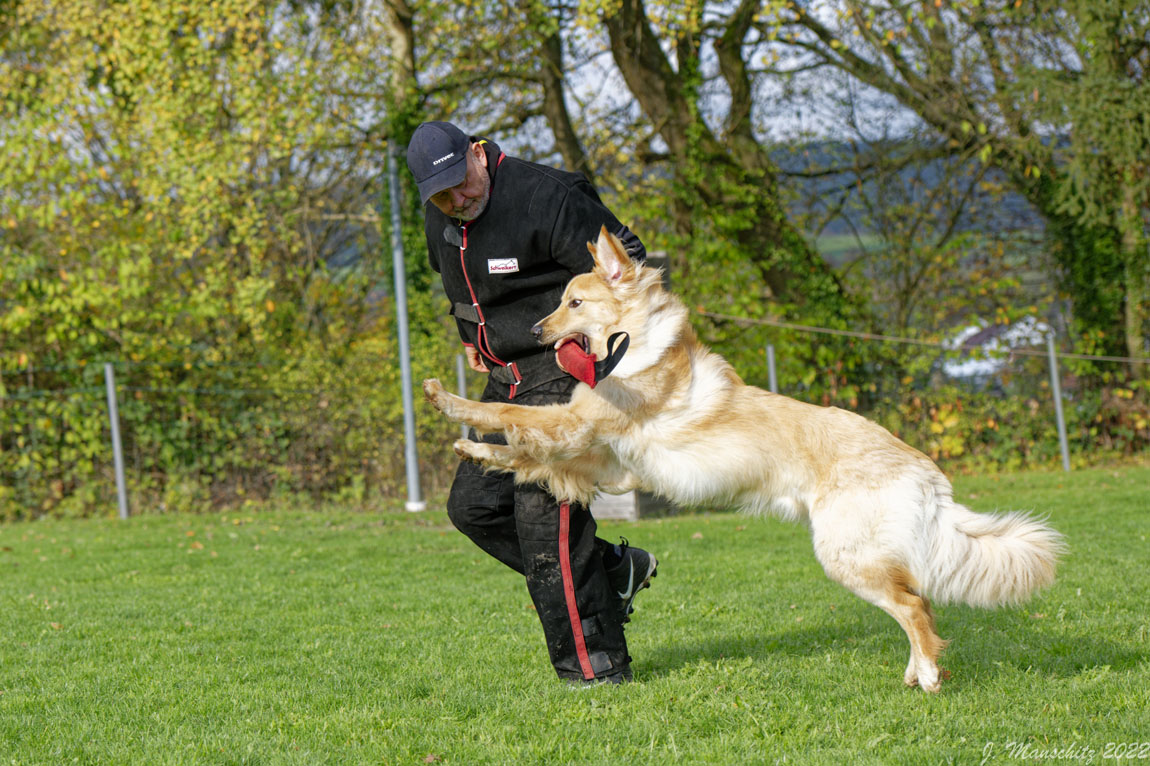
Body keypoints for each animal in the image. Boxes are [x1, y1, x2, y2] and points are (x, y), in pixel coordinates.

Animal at [420, 224, 1058, 690]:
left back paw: (926, 677)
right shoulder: (607, 467)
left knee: (916, 606)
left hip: (846, 555)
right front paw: (479, 451)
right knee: (916, 601)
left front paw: (451, 408)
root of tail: (927, 472)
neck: (629, 347)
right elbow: (529, 458)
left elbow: (509, 415)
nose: (533, 330)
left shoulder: (579, 426)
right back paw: (914, 672)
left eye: (574, 302)